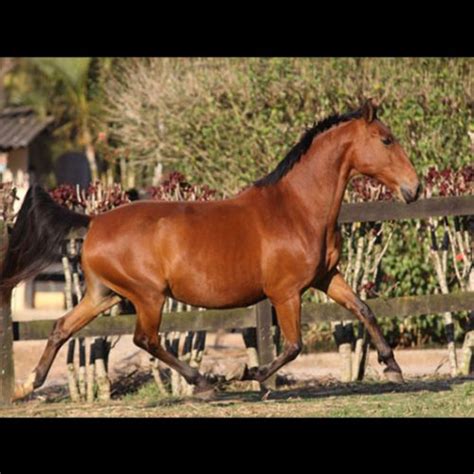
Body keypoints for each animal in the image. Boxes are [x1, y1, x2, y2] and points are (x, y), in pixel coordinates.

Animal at [2, 100, 418, 400]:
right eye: (386, 140)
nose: (414, 189)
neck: (296, 209)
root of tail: (93, 222)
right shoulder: (285, 293)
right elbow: (294, 345)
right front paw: (249, 372)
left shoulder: (326, 278)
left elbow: (363, 308)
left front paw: (392, 367)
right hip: (148, 296)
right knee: (145, 339)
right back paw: (204, 384)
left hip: (104, 295)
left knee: (61, 327)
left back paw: (28, 386)